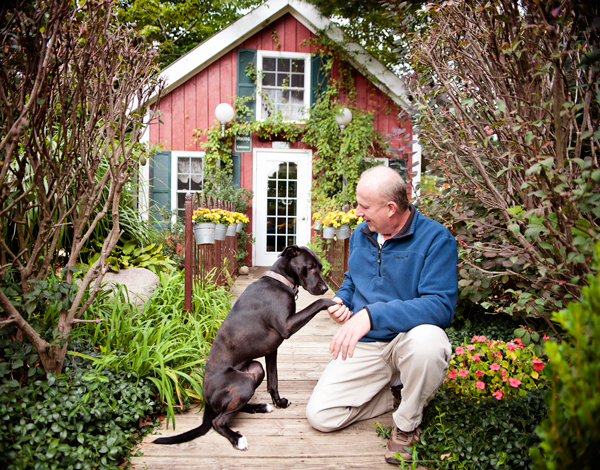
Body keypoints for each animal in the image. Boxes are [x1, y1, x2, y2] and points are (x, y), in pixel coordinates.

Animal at [152, 244, 336, 450]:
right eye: (310, 267)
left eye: (320, 267)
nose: (325, 288)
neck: (279, 281)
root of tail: (206, 401)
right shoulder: (287, 326)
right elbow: (317, 303)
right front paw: (332, 302)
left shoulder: (272, 351)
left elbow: (273, 381)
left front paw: (278, 402)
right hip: (244, 384)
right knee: (218, 421)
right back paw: (236, 438)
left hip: (255, 370)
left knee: (232, 408)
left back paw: (260, 407)